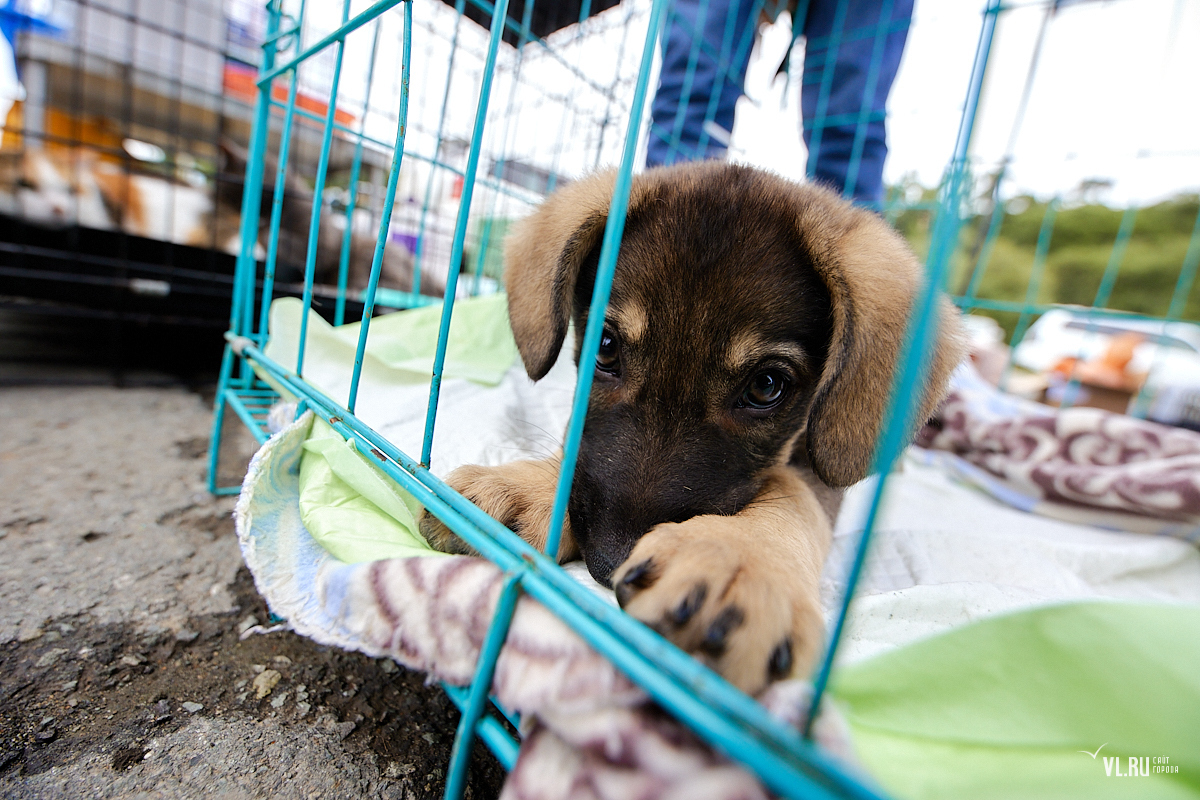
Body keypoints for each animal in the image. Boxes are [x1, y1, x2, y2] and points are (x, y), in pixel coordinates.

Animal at [422, 163, 964, 695]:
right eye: (605, 346)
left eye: (767, 385)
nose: (607, 565)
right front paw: (528, 487)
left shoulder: (817, 464)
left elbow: (793, 495)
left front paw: (740, 559)